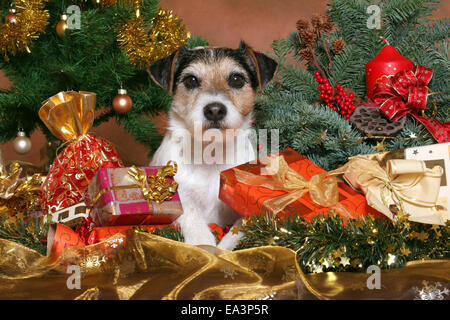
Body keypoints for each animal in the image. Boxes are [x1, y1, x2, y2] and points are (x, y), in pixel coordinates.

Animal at [148, 41, 276, 250]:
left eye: (236, 79)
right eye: (191, 80)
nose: (215, 110)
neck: (212, 153)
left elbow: (241, 226)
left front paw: (224, 250)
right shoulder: (176, 197)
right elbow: (189, 210)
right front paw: (204, 243)